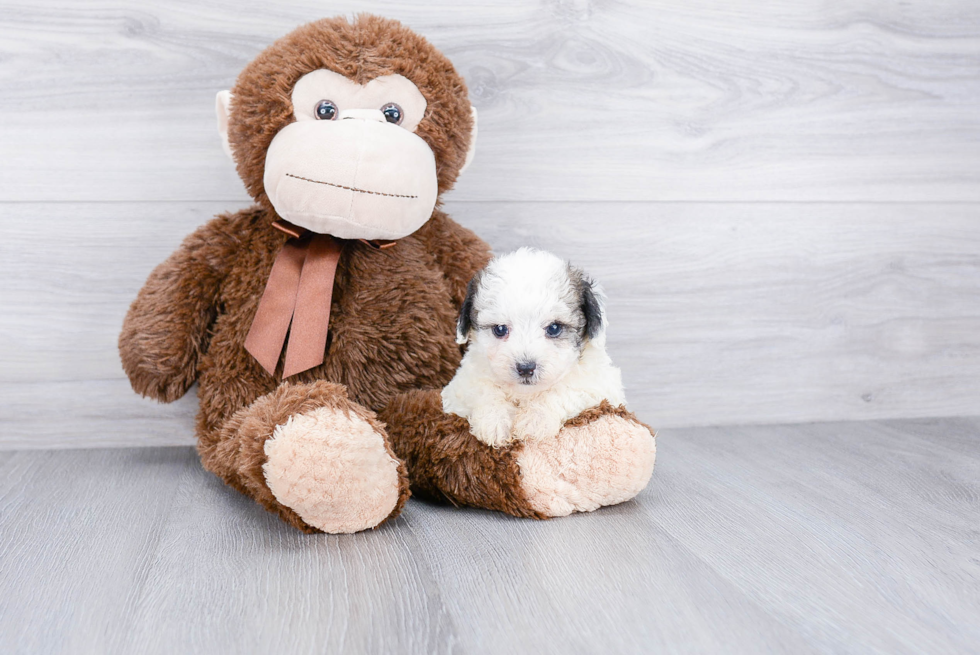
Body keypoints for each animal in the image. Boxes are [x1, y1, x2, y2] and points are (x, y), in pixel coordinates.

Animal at [440, 249, 624, 448]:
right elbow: (483, 389)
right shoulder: (460, 386)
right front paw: (494, 421)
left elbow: (566, 388)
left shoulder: (600, 386)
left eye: (554, 328)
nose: (526, 368)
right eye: (500, 329)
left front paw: (535, 419)